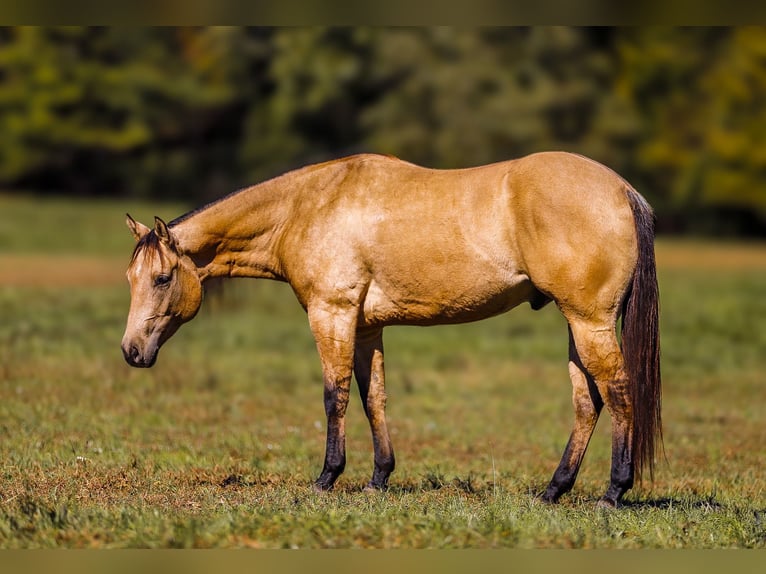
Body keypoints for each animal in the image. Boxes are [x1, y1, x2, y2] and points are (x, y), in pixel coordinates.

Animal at [123, 151, 664, 506]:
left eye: (162, 277)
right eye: (131, 277)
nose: (131, 351)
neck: (306, 207)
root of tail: (623, 191)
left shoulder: (332, 313)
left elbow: (335, 396)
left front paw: (327, 477)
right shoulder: (366, 327)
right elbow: (373, 398)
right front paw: (378, 478)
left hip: (589, 322)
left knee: (617, 392)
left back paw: (614, 491)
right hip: (577, 325)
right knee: (587, 402)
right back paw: (554, 490)